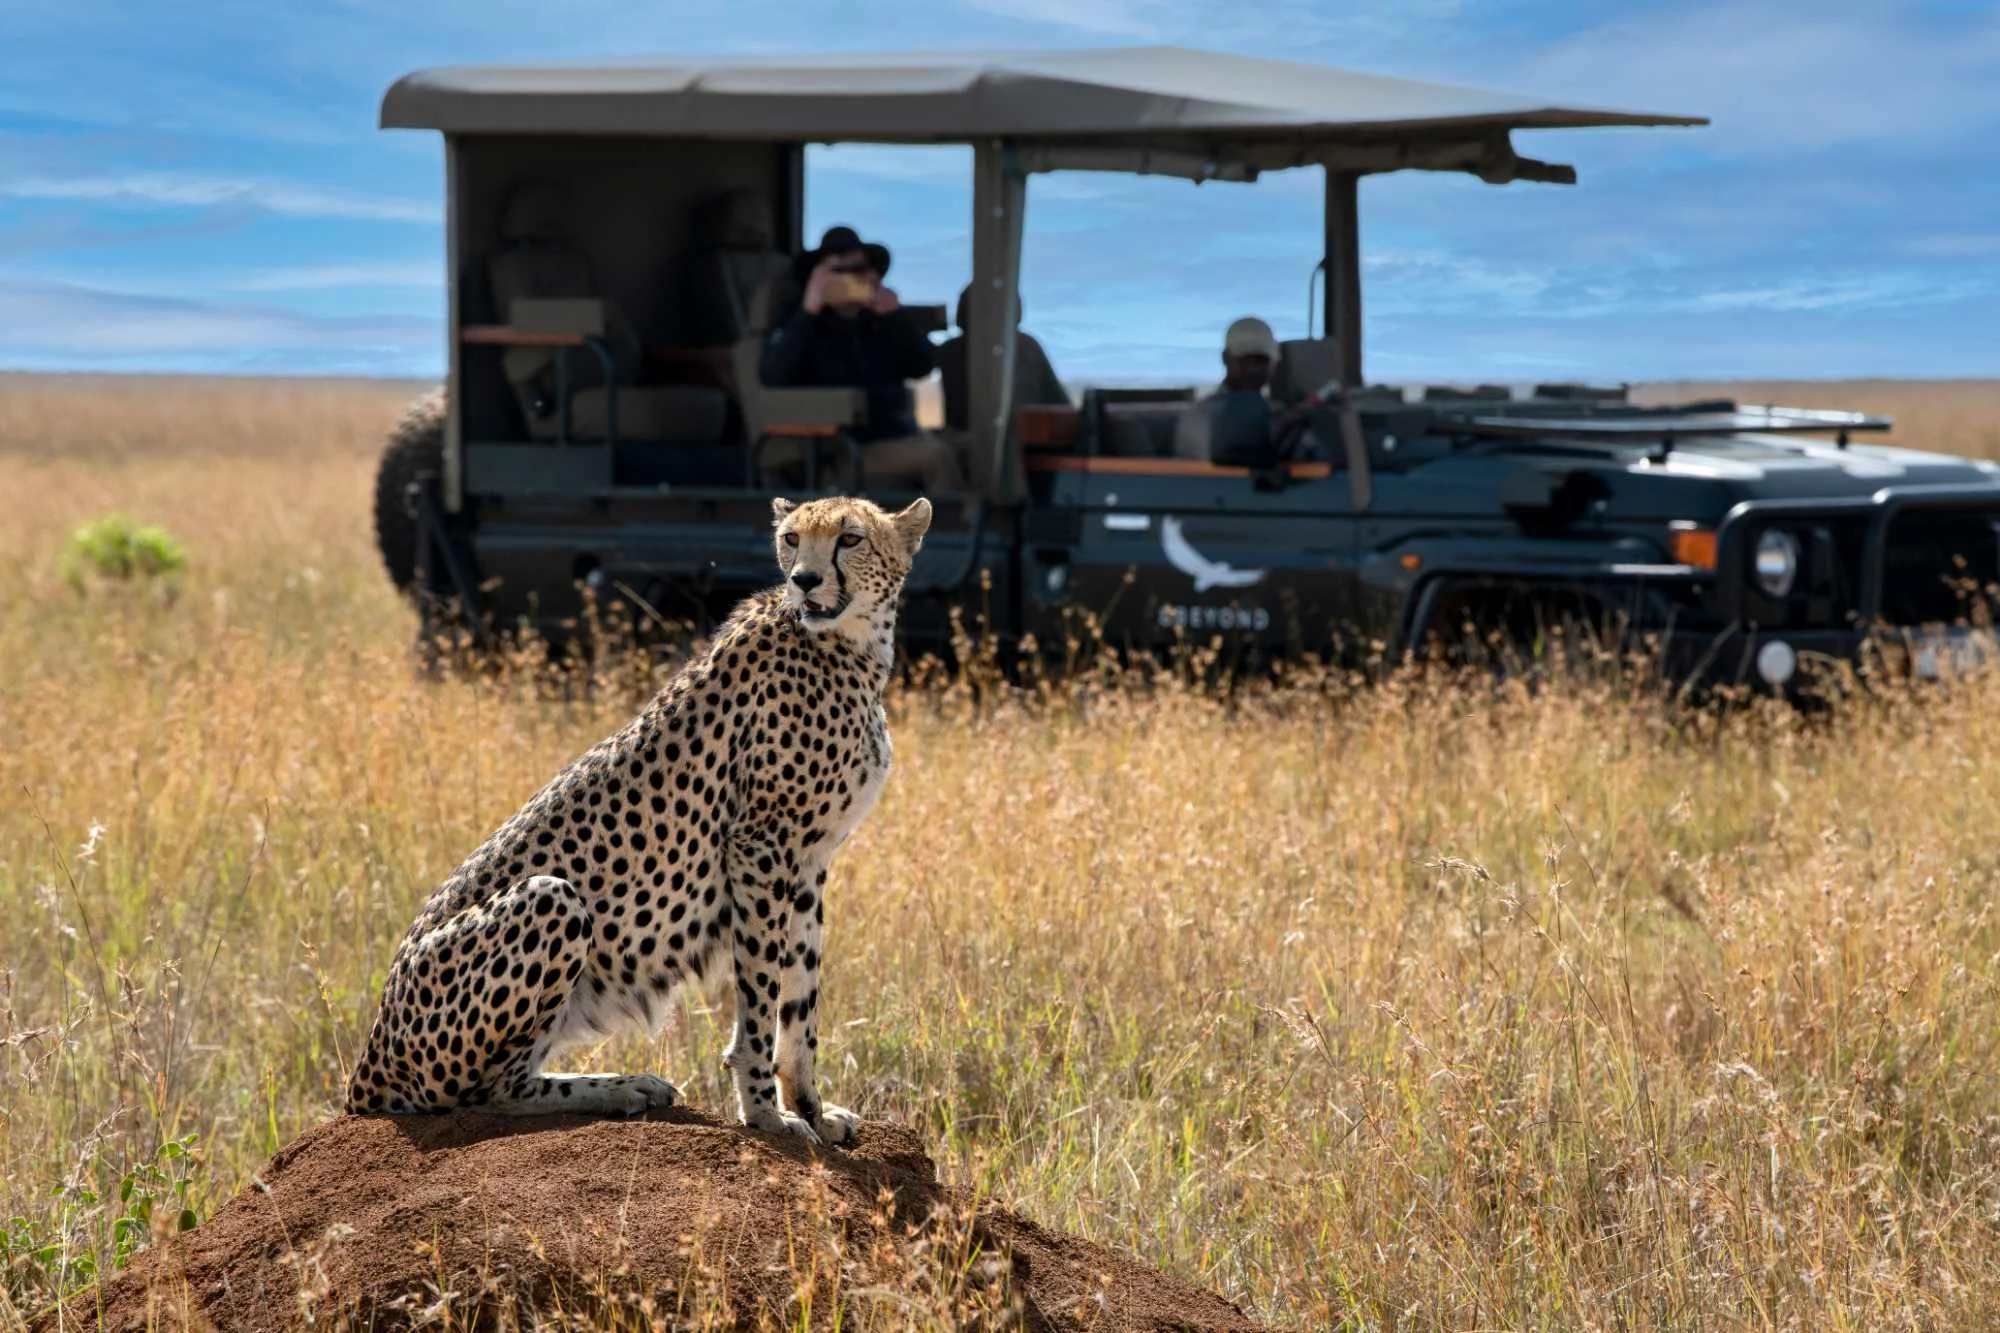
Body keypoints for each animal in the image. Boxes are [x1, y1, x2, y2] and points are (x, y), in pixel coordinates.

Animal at [345, 494, 933, 1145]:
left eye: (850, 538)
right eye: (791, 538)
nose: (803, 580)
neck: (849, 644)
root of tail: (366, 1064)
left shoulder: (808, 860)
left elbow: (800, 995)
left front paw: (811, 1108)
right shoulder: (760, 847)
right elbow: (760, 992)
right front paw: (763, 1113)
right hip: (551, 898)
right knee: (485, 1092)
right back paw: (620, 1087)